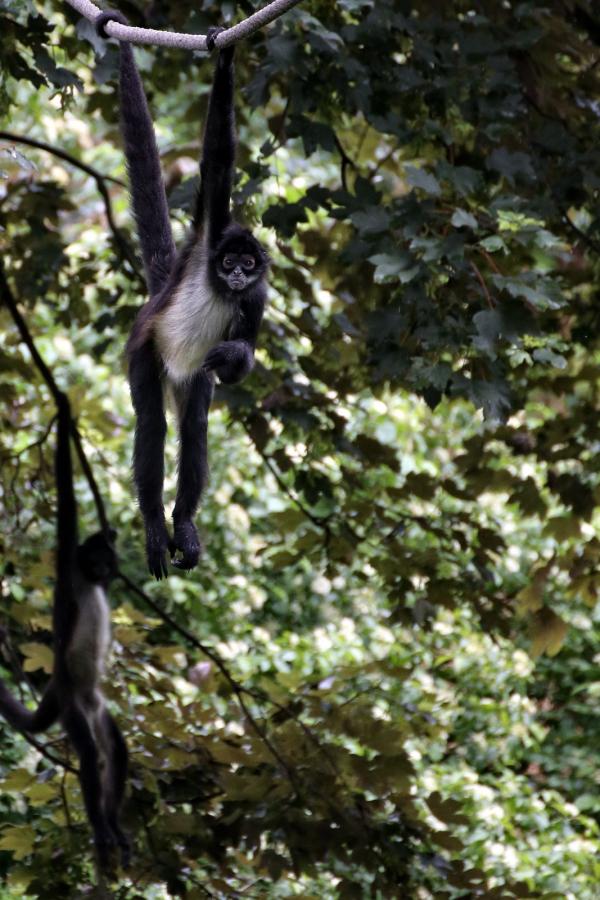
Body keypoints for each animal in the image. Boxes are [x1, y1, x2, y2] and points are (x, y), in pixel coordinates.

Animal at [0, 396, 129, 872]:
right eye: (92, 560)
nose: (103, 566)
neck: (86, 579)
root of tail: (59, 684)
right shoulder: (67, 569)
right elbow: (68, 511)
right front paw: (62, 415)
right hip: (75, 706)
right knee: (91, 757)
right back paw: (101, 826)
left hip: (96, 707)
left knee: (117, 751)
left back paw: (115, 825)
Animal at [96, 12, 270, 576]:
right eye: (228, 261)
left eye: (248, 265)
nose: (236, 276)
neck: (216, 281)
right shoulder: (210, 233)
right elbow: (217, 161)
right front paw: (225, 54)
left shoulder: (256, 297)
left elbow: (241, 357)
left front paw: (234, 353)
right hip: (145, 350)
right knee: (152, 425)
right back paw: (155, 524)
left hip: (190, 377)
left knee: (193, 427)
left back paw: (183, 524)